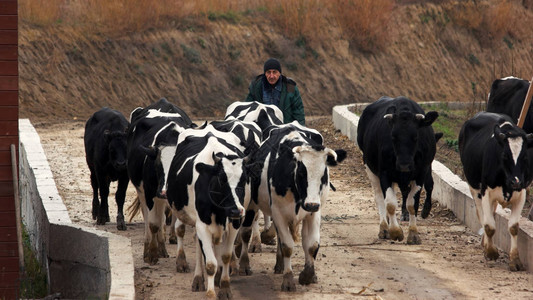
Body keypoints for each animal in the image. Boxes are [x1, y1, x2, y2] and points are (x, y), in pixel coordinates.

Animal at [166, 127, 258, 298]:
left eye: (244, 179)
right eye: (221, 178)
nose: (235, 209)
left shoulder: (234, 223)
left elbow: (225, 256)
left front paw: (225, 287)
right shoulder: (202, 224)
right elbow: (209, 263)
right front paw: (210, 293)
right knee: (193, 240)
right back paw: (197, 278)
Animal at [358, 97, 436, 245]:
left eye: (415, 137)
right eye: (393, 137)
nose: (404, 164)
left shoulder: (421, 173)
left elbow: (412, 204)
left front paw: (413, 234)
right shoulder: (384, 173)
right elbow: (390, 204)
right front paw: (395, 231)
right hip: (369, 166)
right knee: (379, 198)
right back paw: (384, 228)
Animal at [458, 112, 532, 272]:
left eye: (525, 157)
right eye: (504, 155)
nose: (516, 182)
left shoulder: (521, 195)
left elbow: (513, 227)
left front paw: (515, 260)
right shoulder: (486, 193)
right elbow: (489, 226)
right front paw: (491, 252)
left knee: (491, 214)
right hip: (474, 187)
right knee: (482, 216)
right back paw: (486, 245)